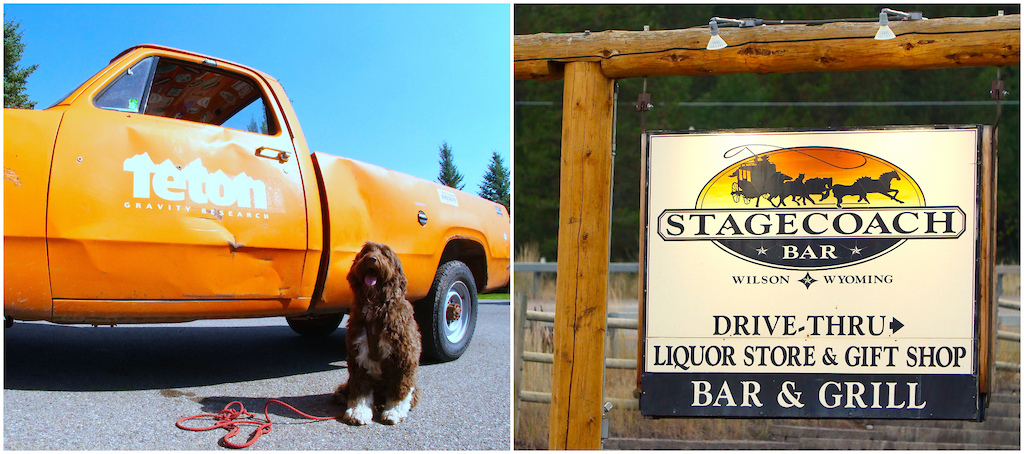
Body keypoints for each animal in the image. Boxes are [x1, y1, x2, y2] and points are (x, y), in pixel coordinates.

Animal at [333, 243, 417, 424]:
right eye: (366, 251)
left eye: (385, 254)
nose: (372, 259)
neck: (377, 308)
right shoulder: (358, 355)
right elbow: (360, 390)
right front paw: (358, 411)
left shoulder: (403, 357)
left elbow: (399, 389)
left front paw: (394, 411)